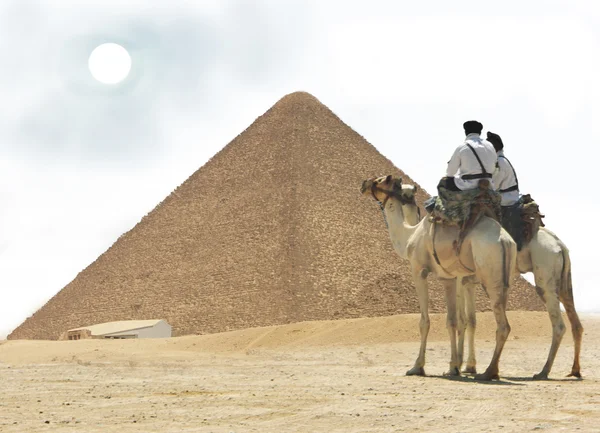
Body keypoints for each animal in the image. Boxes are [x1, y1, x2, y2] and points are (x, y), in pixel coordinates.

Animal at [360, 174, 516, 380]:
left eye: (379, 180)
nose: (364, 185)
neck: (410, 235)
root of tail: (505, 241)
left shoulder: (420, 271)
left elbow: (430, 321)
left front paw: (419, 366)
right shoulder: (454, 278)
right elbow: (459, 321)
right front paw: (456, 366)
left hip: (491, 278)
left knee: (503, 325)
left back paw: (489, 371)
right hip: (502, 280)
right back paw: (487, 369)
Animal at [396, 182, 584, 378]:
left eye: (406, 193)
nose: (408, 197)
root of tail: (560, 246)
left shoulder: (458, 278)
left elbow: (462, 319)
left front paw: (457, 366)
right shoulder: (466, 281)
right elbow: (469, 320)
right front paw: (466, 366)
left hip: (544, 271)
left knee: (557, 322)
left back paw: (541, 371)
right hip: (562, 279)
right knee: (575, 320)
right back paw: (574, 370)